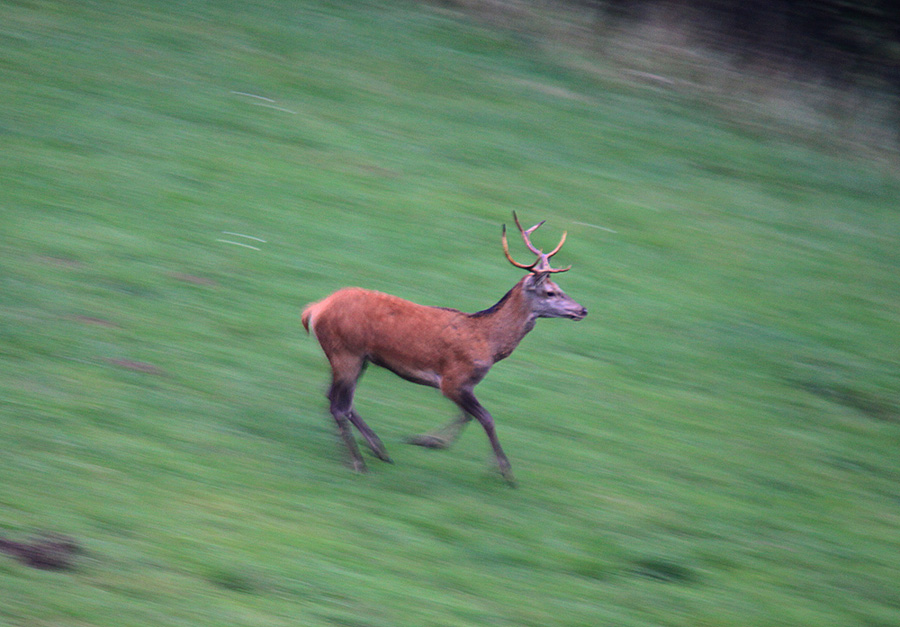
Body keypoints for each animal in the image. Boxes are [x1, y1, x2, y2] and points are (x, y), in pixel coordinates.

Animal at [298, 213, 588, 484]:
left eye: (560, 287)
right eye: (550, 292)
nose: (583, 309)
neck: (490, 343)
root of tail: (315, 309)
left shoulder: (461, 384)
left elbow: (467, 417)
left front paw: (428, 441)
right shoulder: (453, 380)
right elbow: (486, 418)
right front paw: (505, 472)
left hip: (358, 358)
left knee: (332, 397)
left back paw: (376, 449)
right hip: (346, 352)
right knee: (339, 406)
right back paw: (360, 462)